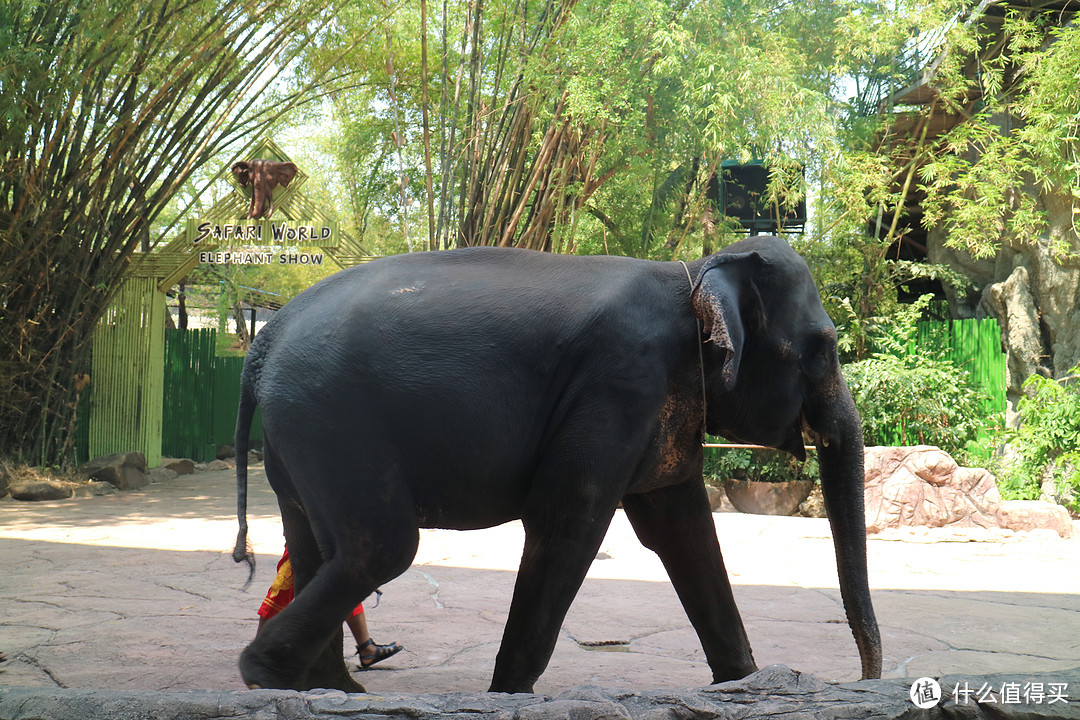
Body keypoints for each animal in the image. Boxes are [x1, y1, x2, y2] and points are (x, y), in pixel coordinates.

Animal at [232, 235, 881, 690]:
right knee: (381, 546)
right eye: (822, 348)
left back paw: (327, 692)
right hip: (333, 418)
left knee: (314, 544)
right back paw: (266, 675)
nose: (863, 678)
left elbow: (683, 528)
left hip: (298, 433)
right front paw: (506, 696)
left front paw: (745, 685)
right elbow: (569, 523)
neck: (694, 273)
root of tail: (267, 336)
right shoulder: (621, 383)